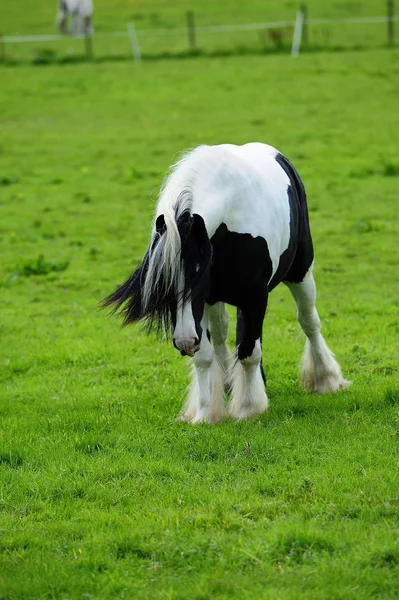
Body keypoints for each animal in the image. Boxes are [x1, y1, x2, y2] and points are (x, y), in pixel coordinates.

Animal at [102, 143, 350, 422]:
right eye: (165, 282)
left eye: (198, 271)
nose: (184, 341)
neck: (229, 218)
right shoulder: (204, 304)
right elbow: (207, 354)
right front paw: (205, 412)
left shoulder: (254, 297)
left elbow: (250, 352)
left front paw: (249, 408)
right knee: (222, 335)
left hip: (300, 273)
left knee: (308, 322)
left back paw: (326, 378)